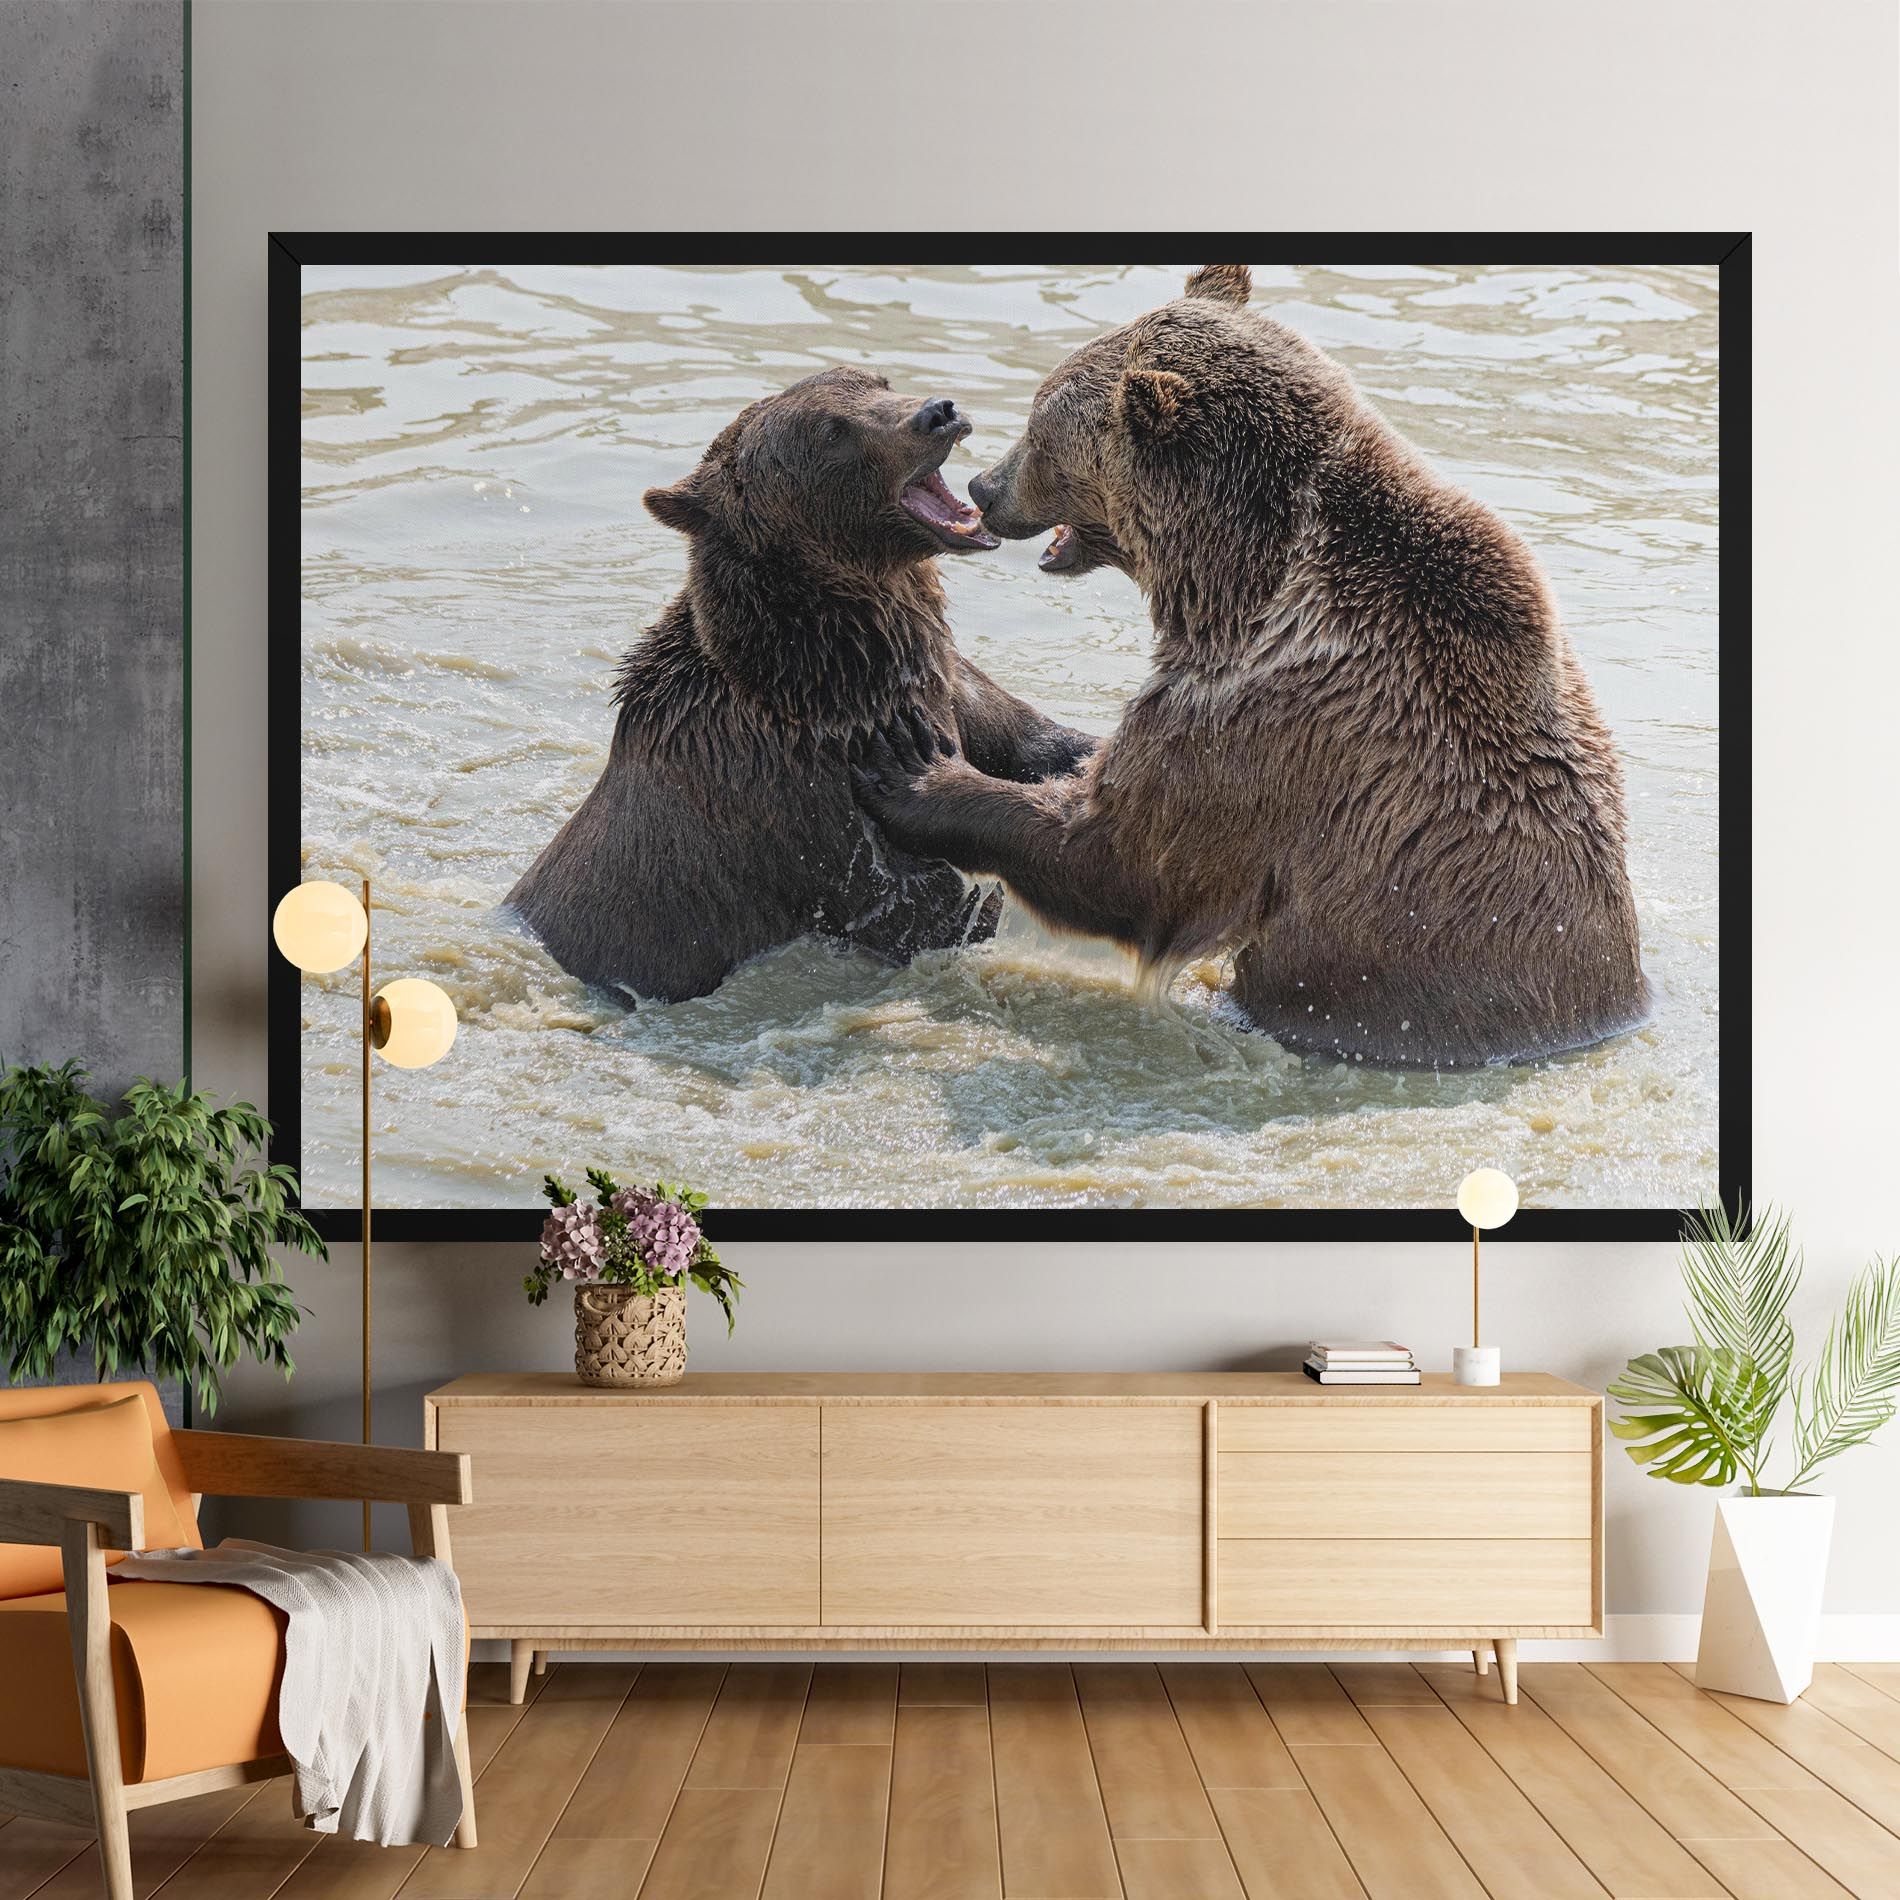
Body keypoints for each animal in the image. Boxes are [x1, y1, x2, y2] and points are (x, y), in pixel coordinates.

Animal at [507, 365, 1094, 1004]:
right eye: (832, 432)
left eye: (878, 381)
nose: (938, 412)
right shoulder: (804, 799)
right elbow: (921, 906)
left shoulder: (948, 683)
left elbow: (1037, 742)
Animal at [853, 265, 1649, 1069]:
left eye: (1041, 430)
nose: (985, 487)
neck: (1235, 583)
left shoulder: (1264, 721)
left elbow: (1125, 856)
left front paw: (915, 772)